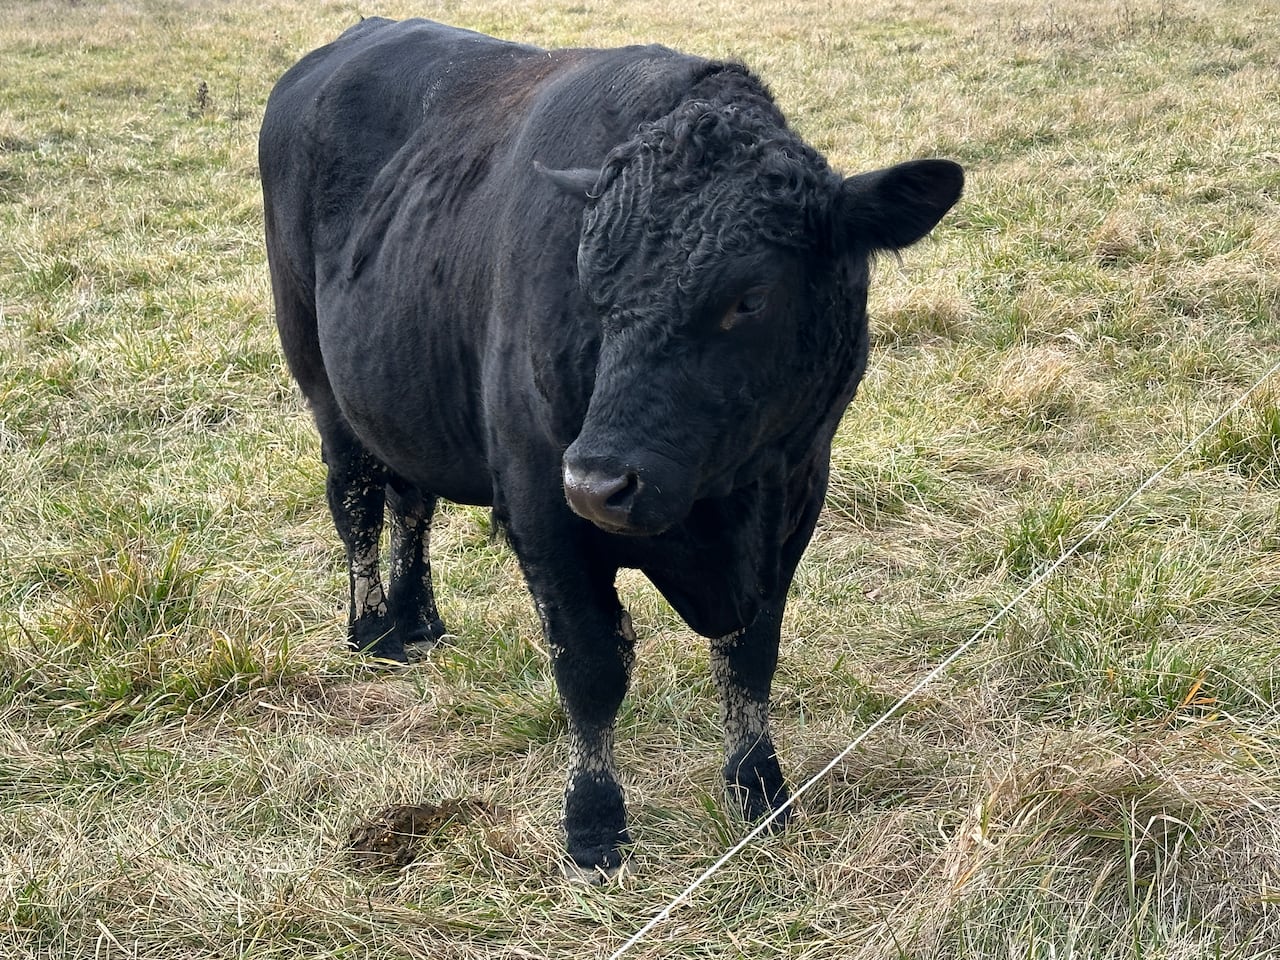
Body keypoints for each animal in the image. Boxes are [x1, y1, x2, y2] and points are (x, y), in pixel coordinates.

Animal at [259, 16, 962, 881]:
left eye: (750, 296)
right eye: (593, 285)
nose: (600, 482)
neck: (724, 508)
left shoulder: (795, 496)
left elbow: (750, 658)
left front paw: (760, 791)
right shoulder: (543, 507)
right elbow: (590, 668)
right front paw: (593, 825)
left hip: (402, 393)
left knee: (410, 500)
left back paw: (420, 619)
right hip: (324, 386)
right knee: (356, 498)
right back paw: (374, 632)